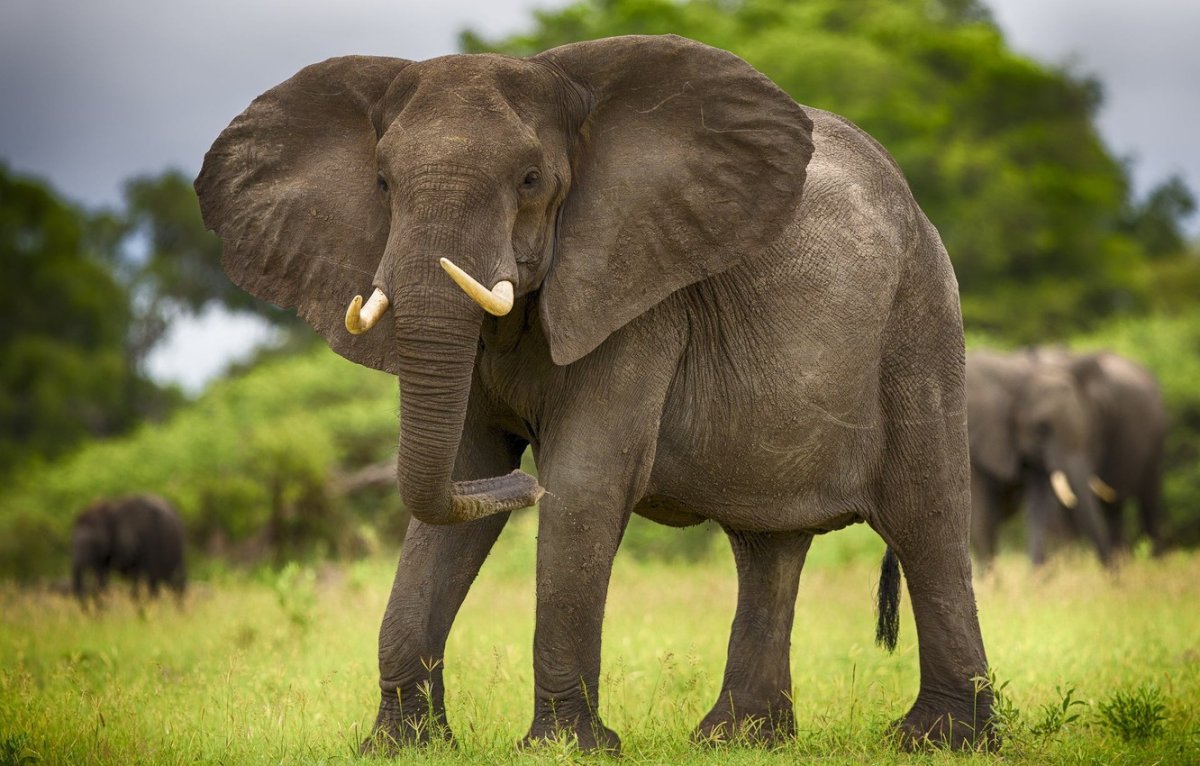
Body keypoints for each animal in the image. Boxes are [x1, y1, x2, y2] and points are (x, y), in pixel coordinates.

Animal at [195, 34, 992, 752]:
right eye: (384, 184)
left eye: (529, 179)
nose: (522, 482)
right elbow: (457, 478)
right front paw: (402, 746)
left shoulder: (637, 293)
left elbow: (583, 487)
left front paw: (564, 746)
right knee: (767, 546)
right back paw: (739, 739)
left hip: (921, 314)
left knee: (925, 518)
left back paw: (941, 740)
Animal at [966, 348, 1167, 566]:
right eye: (1041, 429)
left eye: (1085, 427)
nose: (1112, 574)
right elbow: (982, 516)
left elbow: (1039, 507)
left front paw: (1040, 574)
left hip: (1156, 442)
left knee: (1146, 504)